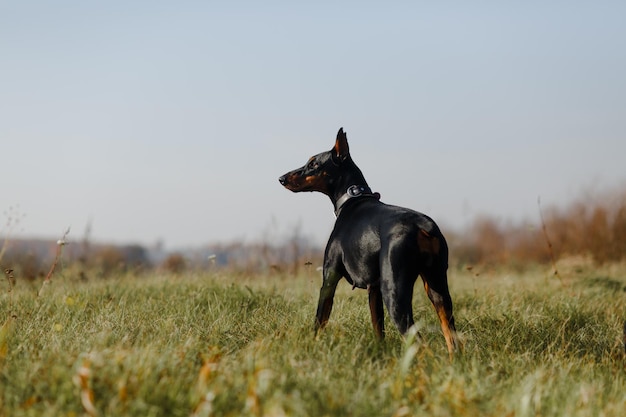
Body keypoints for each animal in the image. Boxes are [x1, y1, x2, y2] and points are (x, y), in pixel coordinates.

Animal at [278, 127, 458, 358]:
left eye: (314, 164)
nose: (281, 178)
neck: (352, 198)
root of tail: (423, 226)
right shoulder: (374, 289)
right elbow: (378, 328)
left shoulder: (330, 277)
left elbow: (319, 321)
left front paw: (311, 348)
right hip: (437, 288)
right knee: (452, 338)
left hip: (395, 292)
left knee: (418, 342)